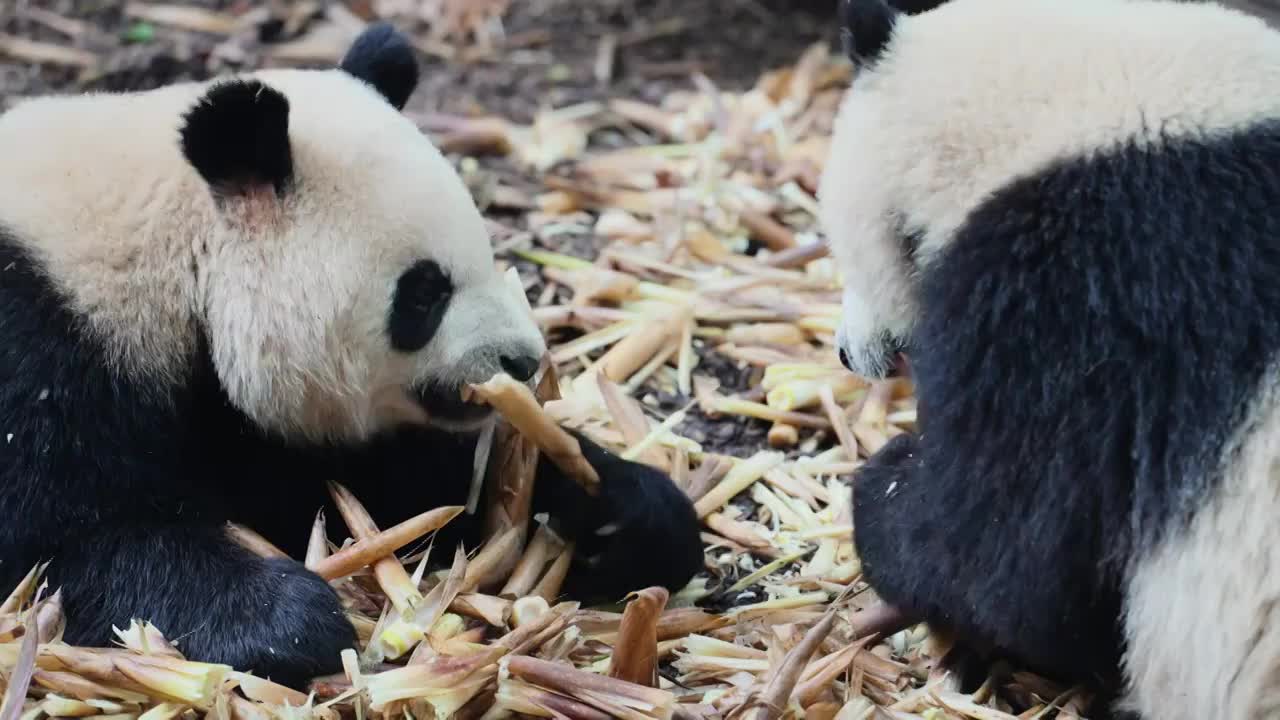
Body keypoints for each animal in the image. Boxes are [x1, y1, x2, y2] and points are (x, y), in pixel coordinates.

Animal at [0, 20, 701, 681]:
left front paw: (628, 513)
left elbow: (398, 490)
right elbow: (61, 538)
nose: (521, 361)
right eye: (424, 292)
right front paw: (281, 619)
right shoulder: (38, 342)